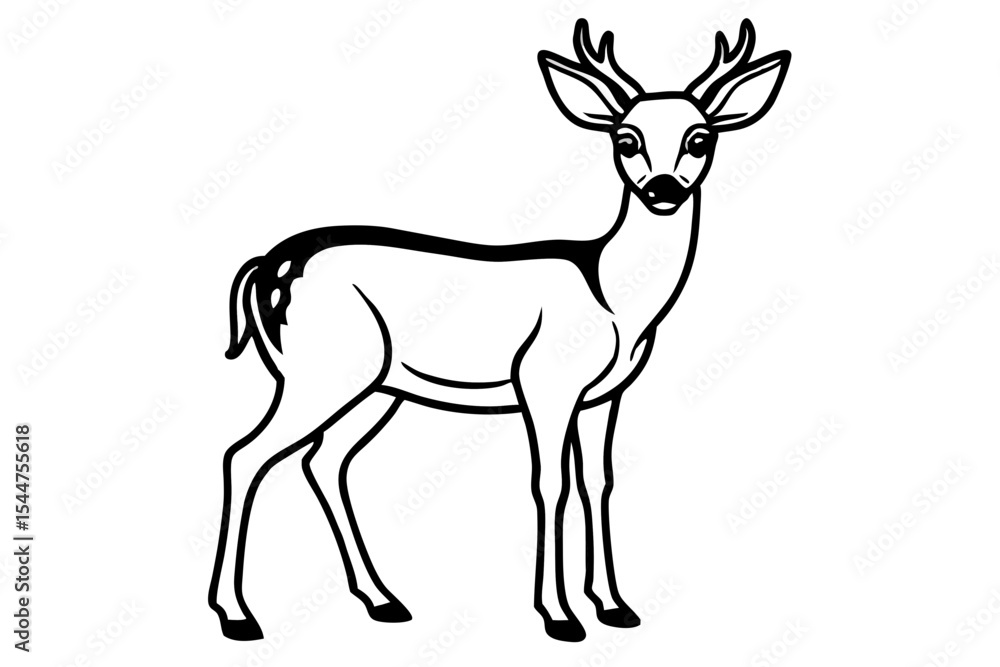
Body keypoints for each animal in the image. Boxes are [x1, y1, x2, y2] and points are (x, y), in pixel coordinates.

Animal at [208, 18, 790, 643]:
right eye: (626, 139)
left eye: (700, 138)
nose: (663, 189)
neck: (613, 298)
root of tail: (268, 264)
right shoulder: (544, 381)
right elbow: (550, 484)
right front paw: (560, 616)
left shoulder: (604, 395)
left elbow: (598, 482)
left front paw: (614, 607)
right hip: (319, 372)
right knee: (245, 455)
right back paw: (237, 614)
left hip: (376, 386)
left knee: (323, 461)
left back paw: (383, 599)